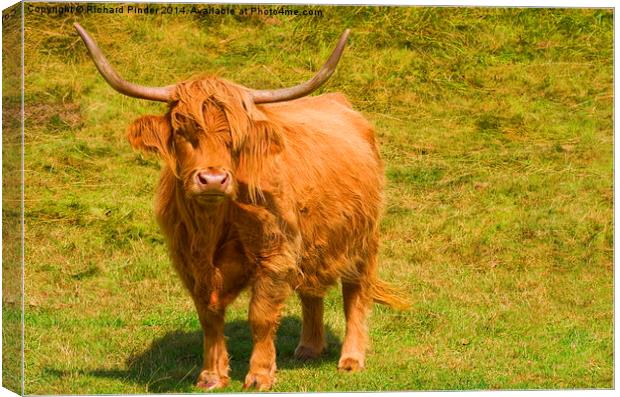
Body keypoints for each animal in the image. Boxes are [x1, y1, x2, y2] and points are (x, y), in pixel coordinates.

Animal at [74, 22, 406, 390]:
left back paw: (351, 359)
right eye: (182, 130)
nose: (213, 179)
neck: (214, 228)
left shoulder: (275, 255)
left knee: (355, 295)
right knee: (311, 292)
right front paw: (211, 375)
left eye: (237, 137)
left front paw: (259, 375)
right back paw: (308, 347)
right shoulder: (188, 261)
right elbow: (208, 316)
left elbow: (260, 316)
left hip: (363, 240)